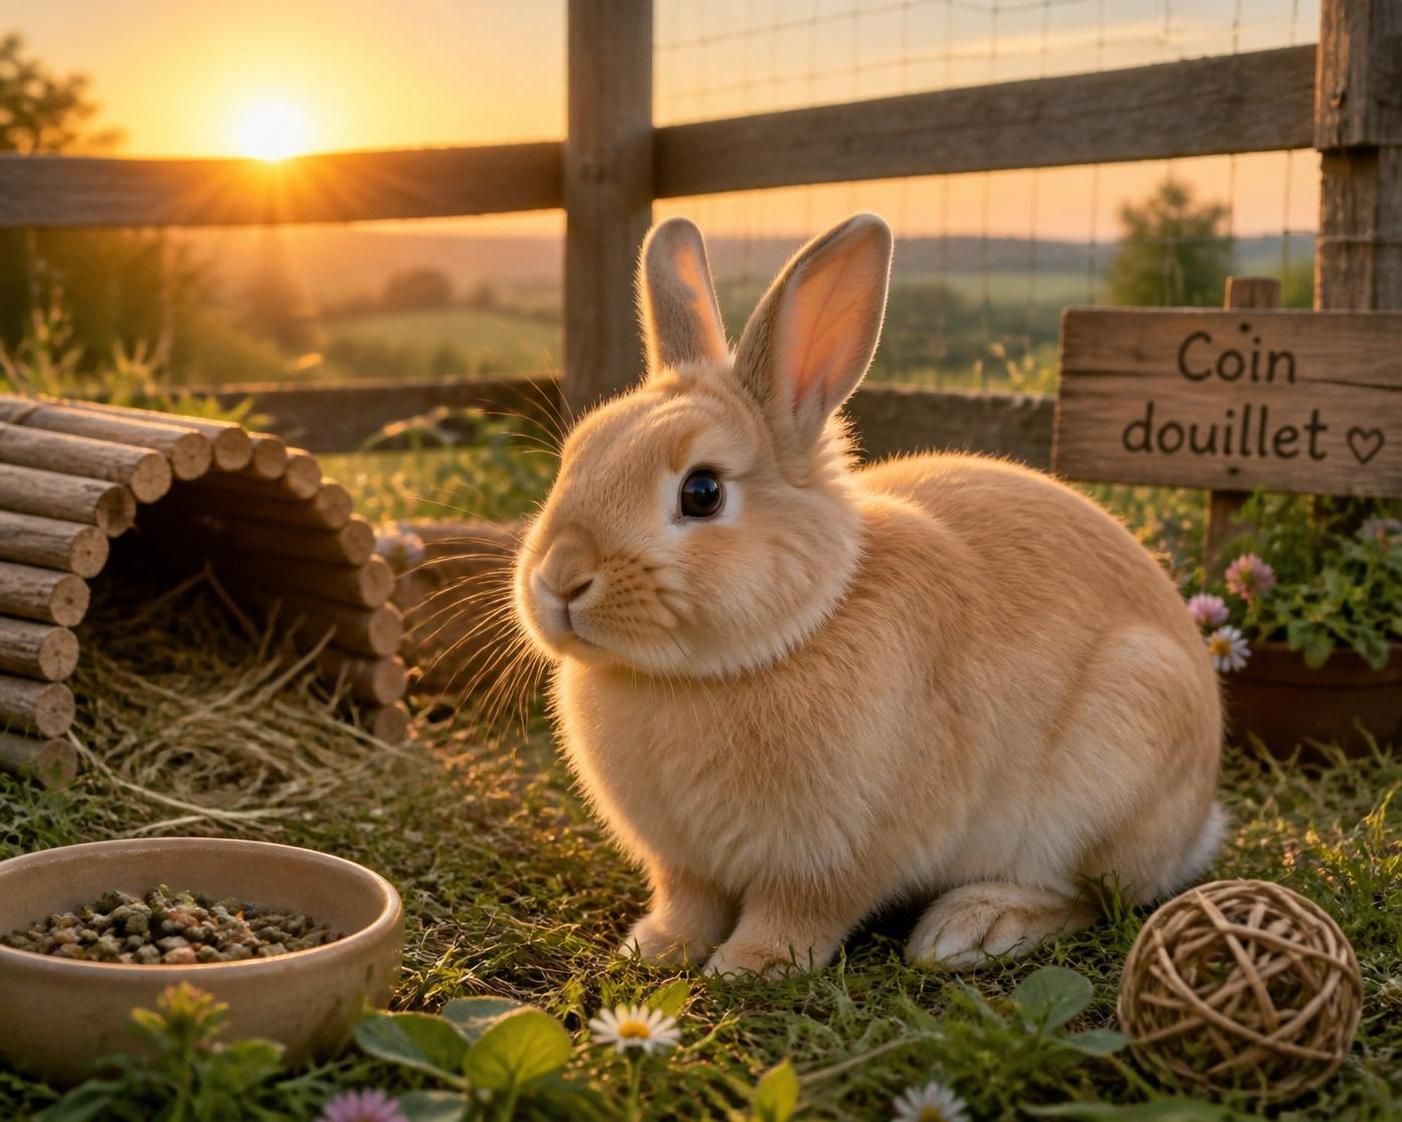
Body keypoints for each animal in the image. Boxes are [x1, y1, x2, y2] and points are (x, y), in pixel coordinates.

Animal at [513, 213, 1223, 975]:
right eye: (576, 456)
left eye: (702, 492)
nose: (559, 580)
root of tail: (1200, 823)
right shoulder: (685, 865)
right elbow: (688, 902)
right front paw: (654, 949)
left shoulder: (836, 856)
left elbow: (801, 913)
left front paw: (749, 965)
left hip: (1116, 760)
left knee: (1092, 896)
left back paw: (972, 929)